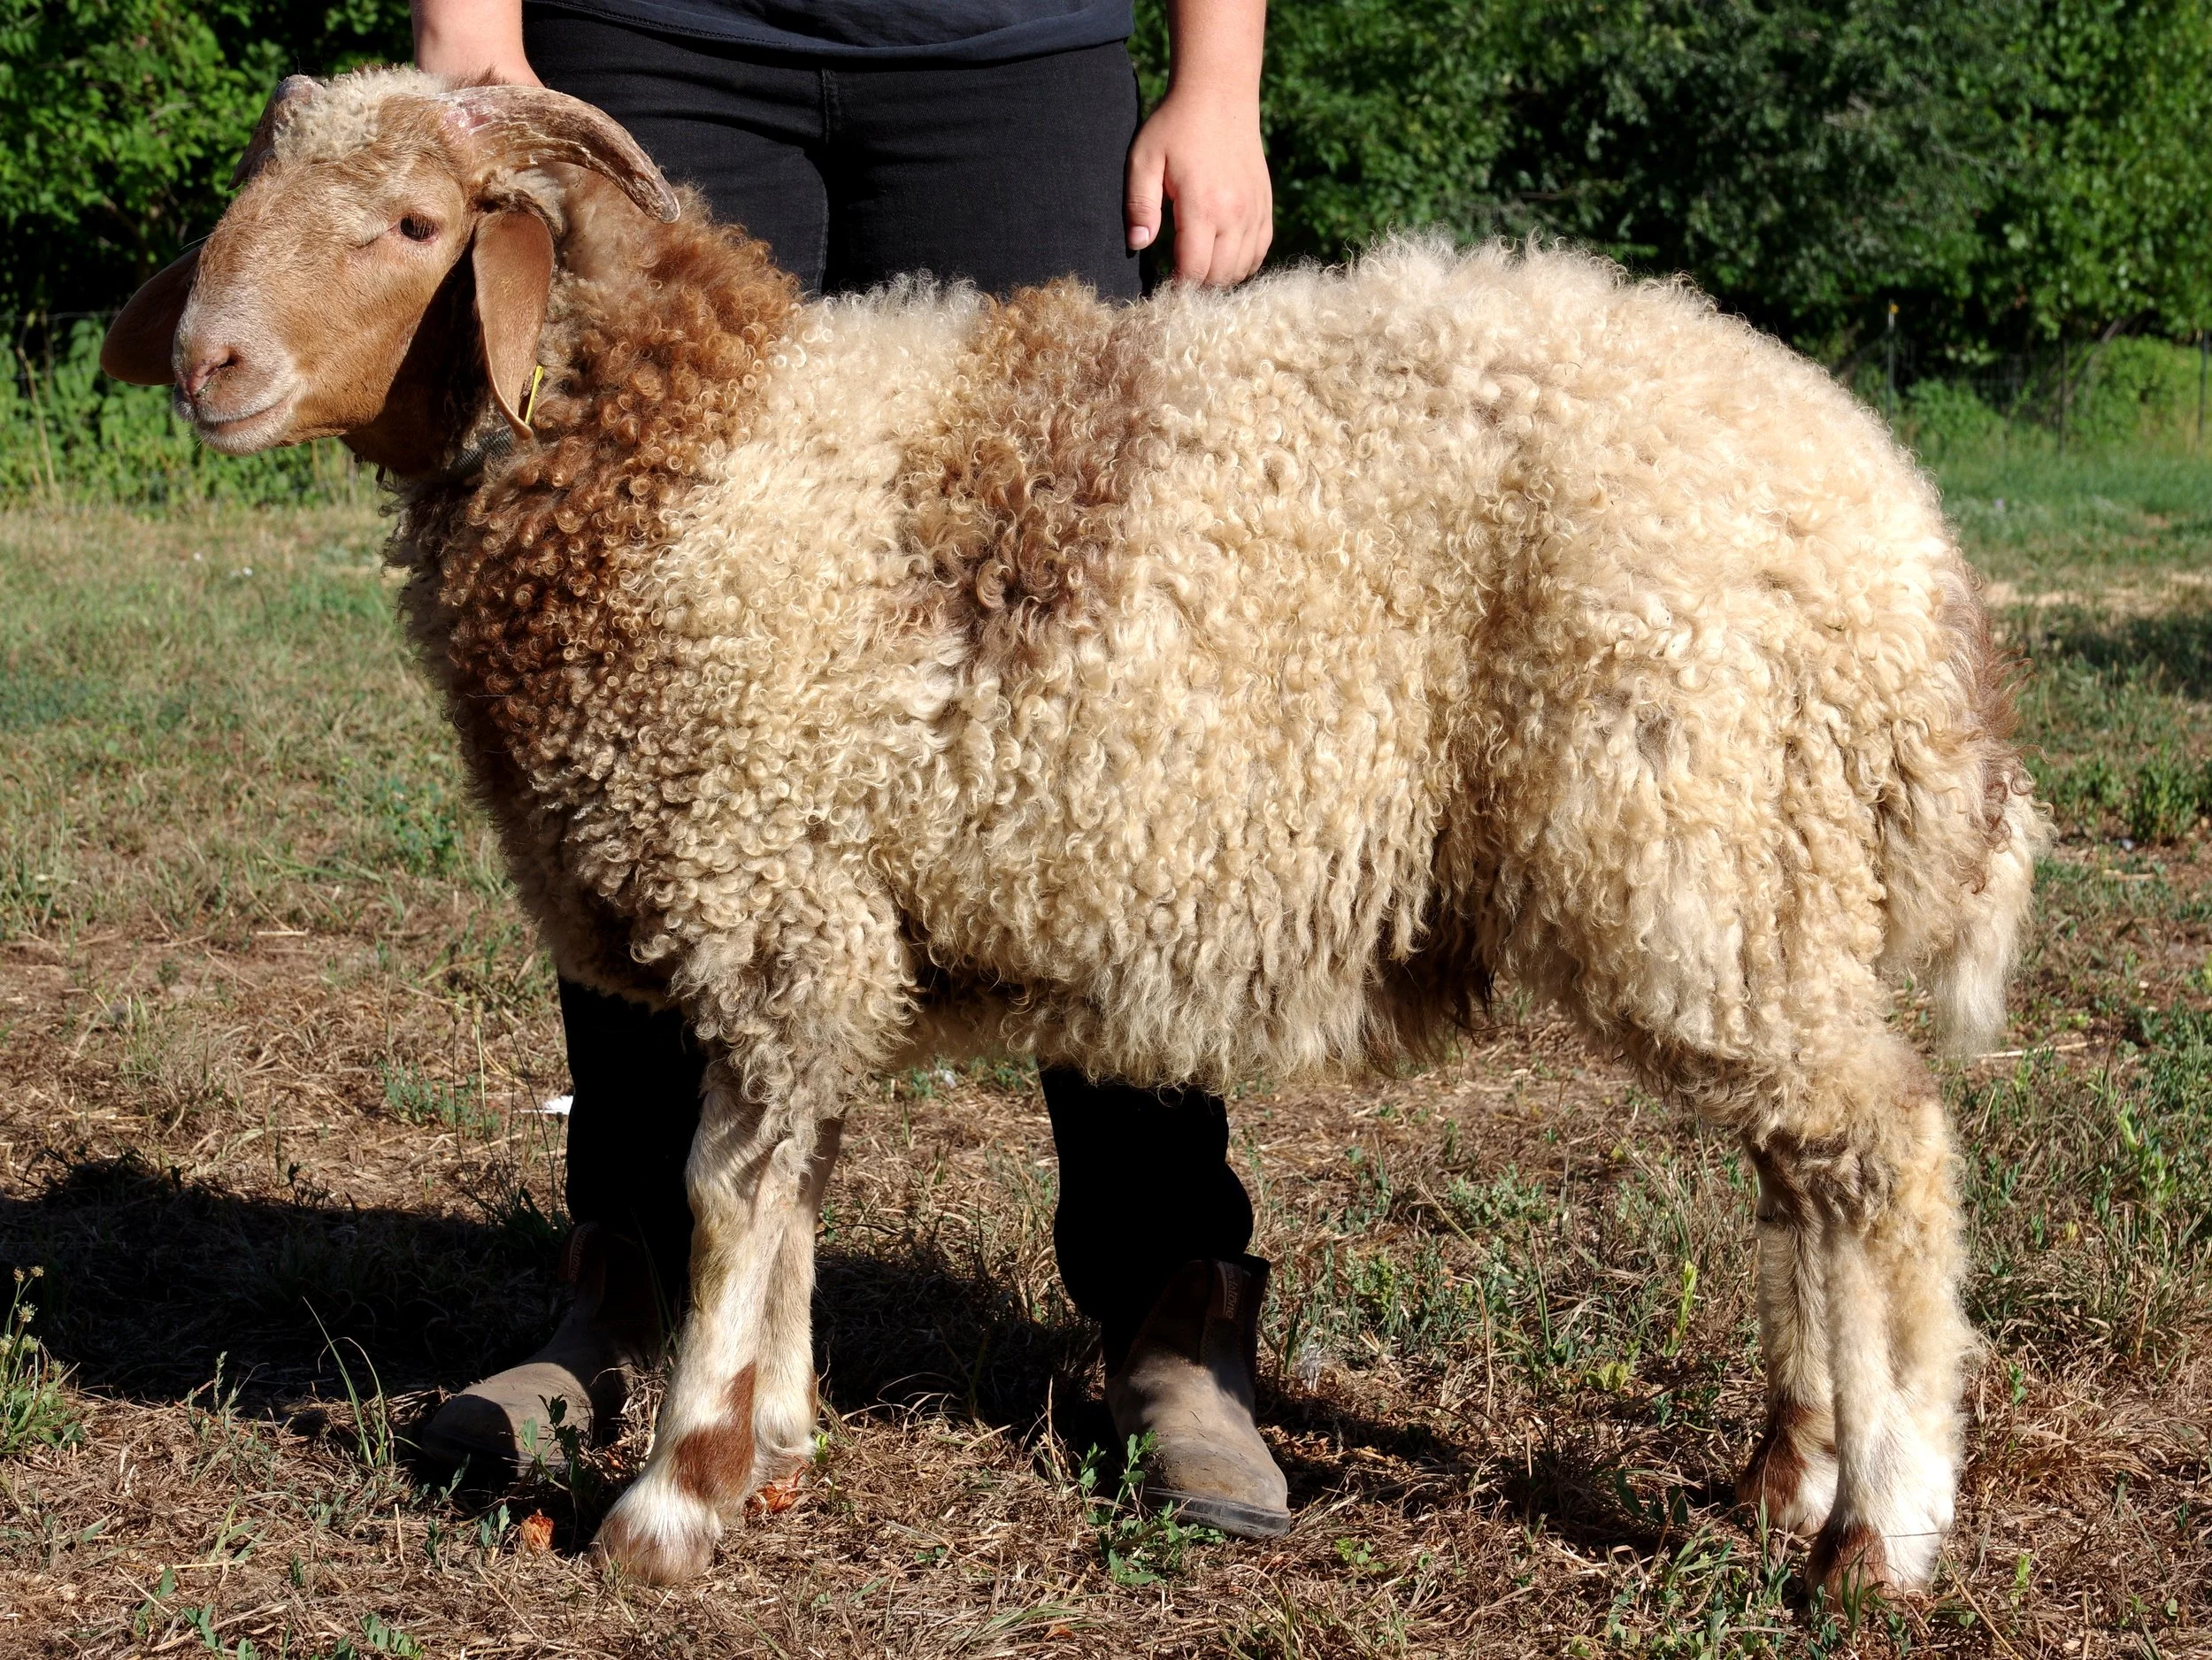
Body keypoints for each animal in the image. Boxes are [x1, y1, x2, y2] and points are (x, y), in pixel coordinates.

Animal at [104, 66, 2047, 1593]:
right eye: (247, 202)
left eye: (415, 222)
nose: (208, 363)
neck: (686, 458)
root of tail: (1901, 540)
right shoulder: (818, 917)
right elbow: (790, 1186)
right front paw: (778, 1440)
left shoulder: (768, 880)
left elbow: (725, 1190)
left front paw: (676, 1493)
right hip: (1758, 879)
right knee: (1801, 1171)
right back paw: (1787, 1470)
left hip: (1694, 848)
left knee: (1883, 1159)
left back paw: (1878, 1535)